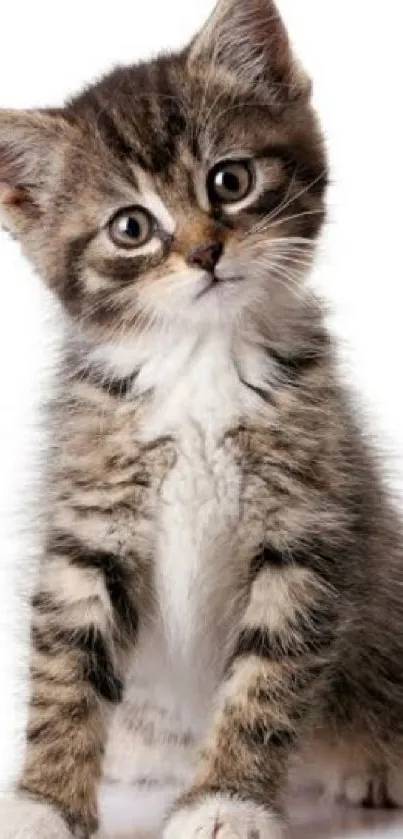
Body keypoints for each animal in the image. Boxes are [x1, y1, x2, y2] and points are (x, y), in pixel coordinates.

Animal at [0, 1, 403, 839]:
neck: (198, 362)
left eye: (230, 180)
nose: (204, 251)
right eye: (130, 227)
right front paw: (44, 799)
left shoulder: (304, 527)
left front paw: (225, 800)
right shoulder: (90, 523)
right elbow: (64, 669)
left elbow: (264, 682)